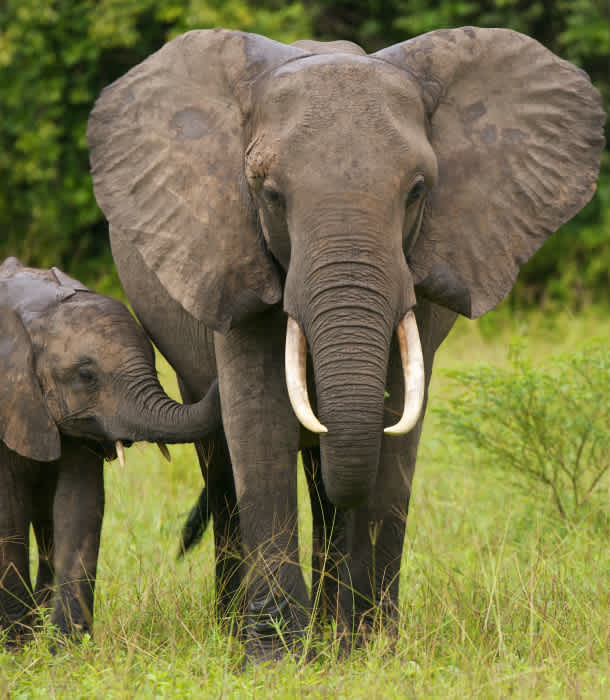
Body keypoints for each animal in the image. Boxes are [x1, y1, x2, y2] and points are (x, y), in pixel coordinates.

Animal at [86, 27, 604, 659]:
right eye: (270, 194)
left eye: (417, 191)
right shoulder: (230, 250)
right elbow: (259, 421)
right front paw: (274, 658)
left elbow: (395, 427)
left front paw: (371, 650)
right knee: (224, 462)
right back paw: (240, 628)